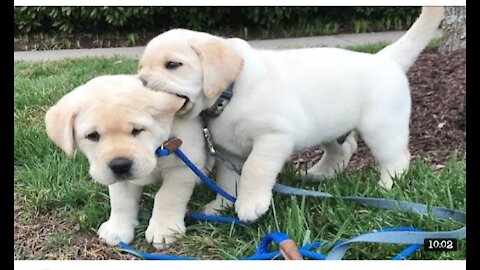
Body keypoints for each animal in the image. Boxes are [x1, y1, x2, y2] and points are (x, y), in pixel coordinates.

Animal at [45, 75, 208, 250]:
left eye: (137, 130)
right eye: (92, 135)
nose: (120, 165)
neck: (158, 149)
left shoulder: (183, 167)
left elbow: (167, 197)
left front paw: (165, 229)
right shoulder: (119, 179)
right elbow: (121, 201)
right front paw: (117, 228)